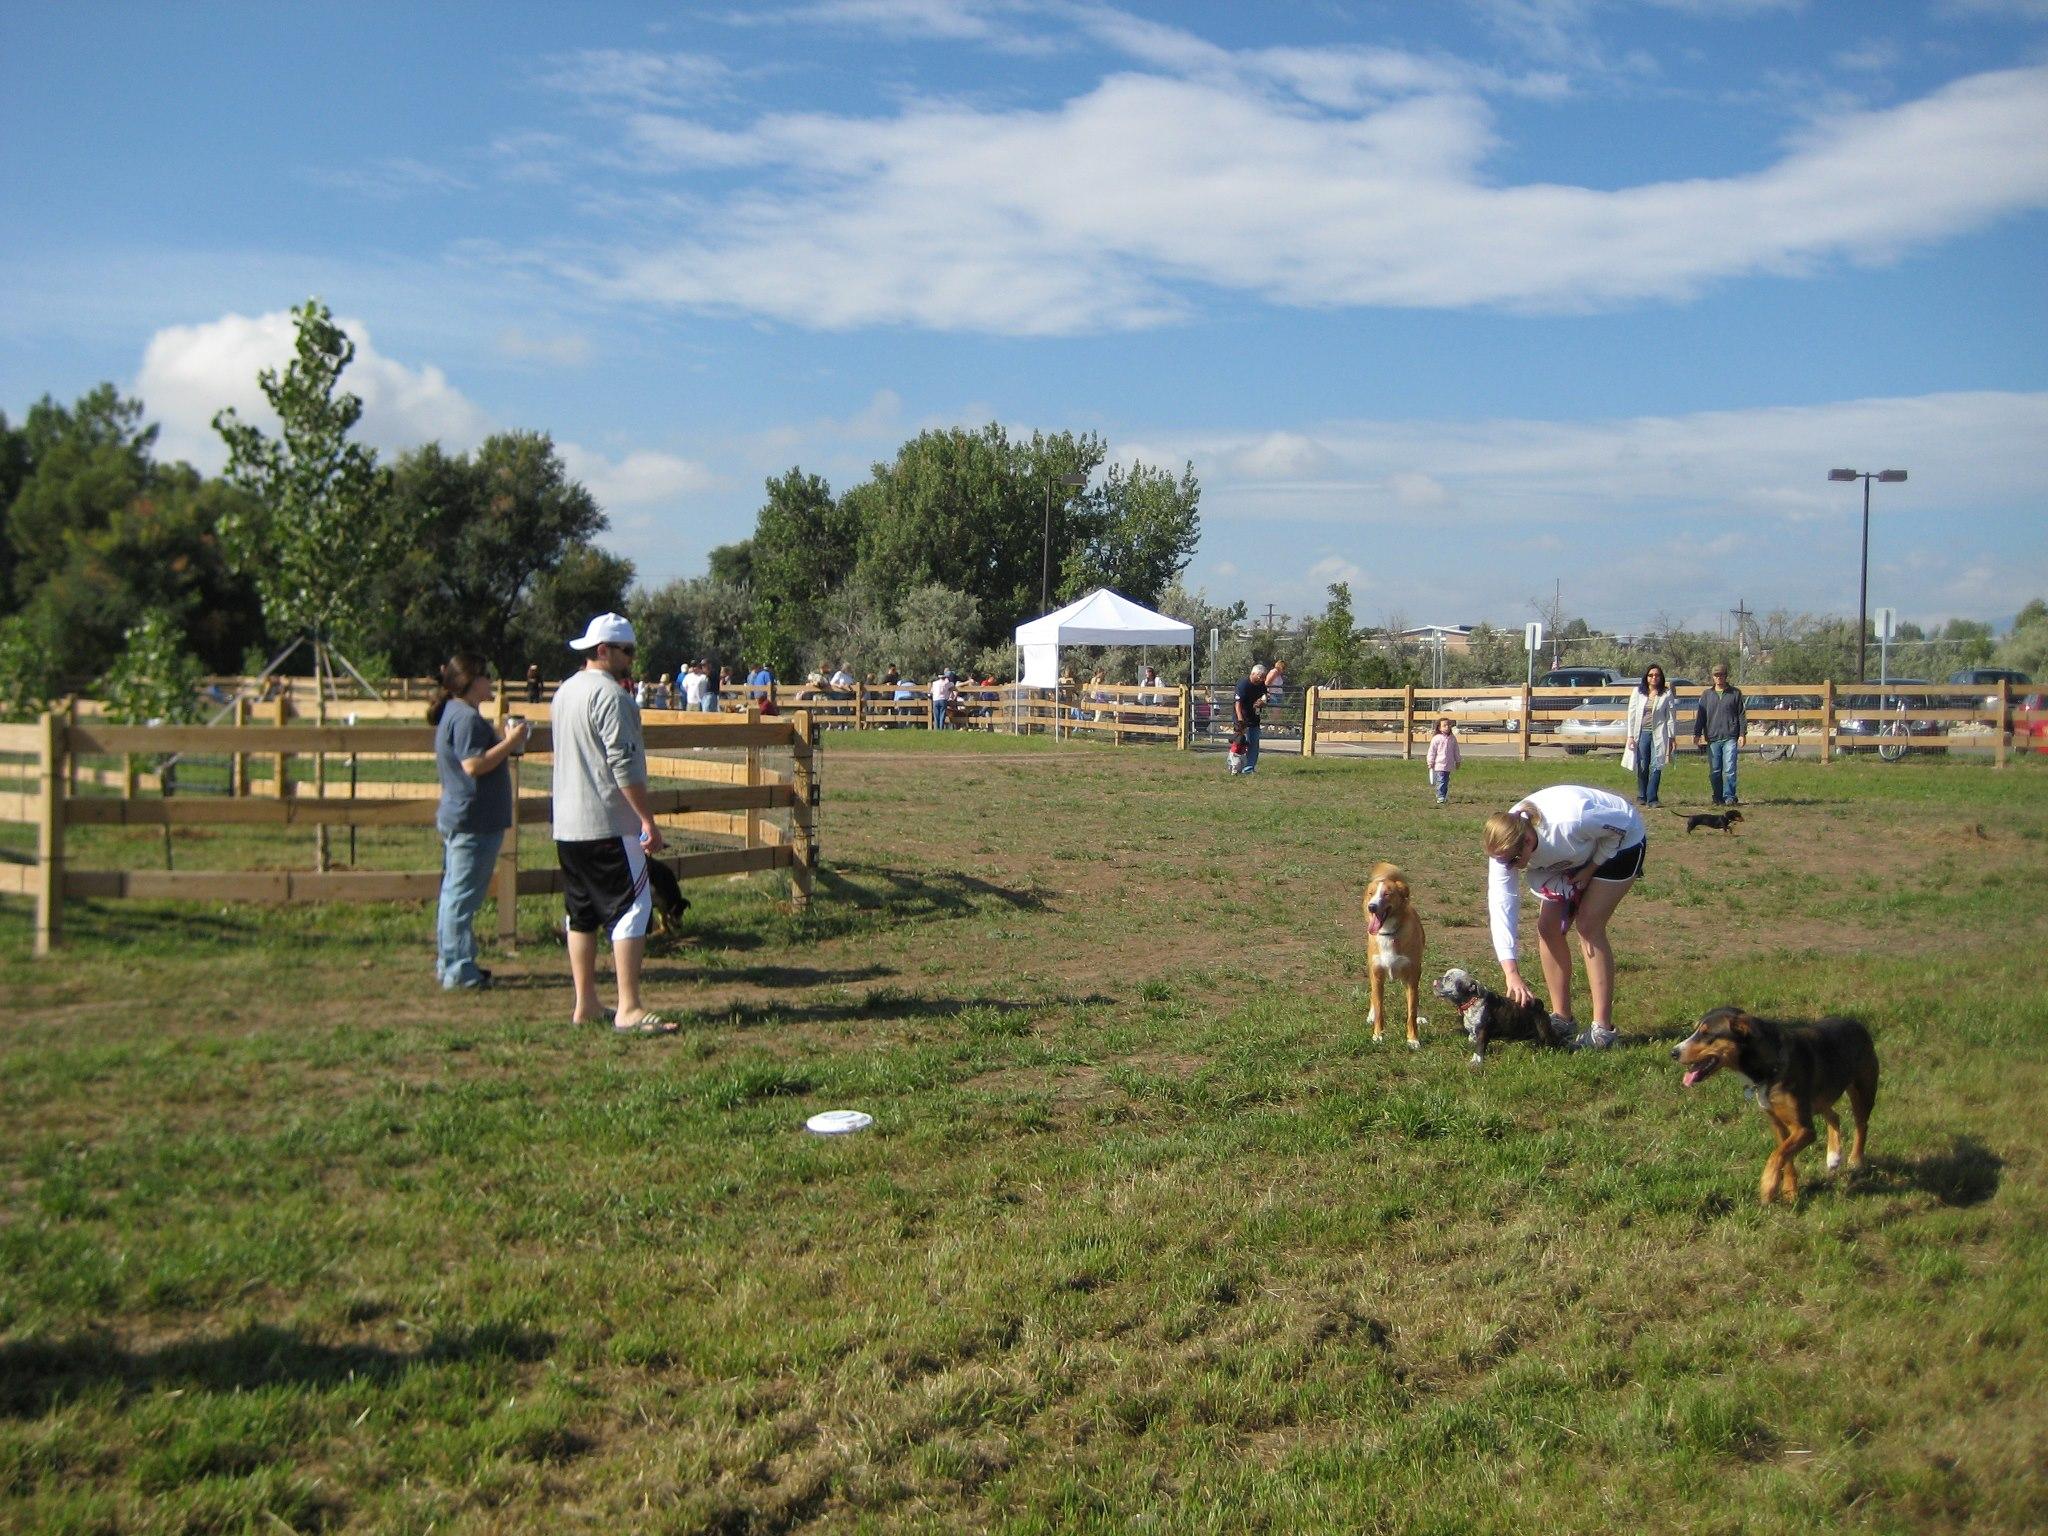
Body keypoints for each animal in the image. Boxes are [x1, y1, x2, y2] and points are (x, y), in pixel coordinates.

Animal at [1368, 860, 1433, 1056]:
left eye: (1387, 894)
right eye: (1371, 894)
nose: (1371, 907)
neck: (1388, 933)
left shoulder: (1412, 977)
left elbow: (1411, 1012)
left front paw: (1413, 1040)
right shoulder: (1377, 975)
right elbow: (1379, 1009)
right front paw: (1378, 1036)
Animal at [1433, 966, 1572, 1064]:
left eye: (1449, 979)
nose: (1437, 979)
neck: (1471, 1001)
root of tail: (1539, 1006)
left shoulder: (1483, 1032)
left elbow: (1479, 1048)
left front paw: (1476, 1062)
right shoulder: (1473, 1033)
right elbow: (1472, 1041)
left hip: (1545, 1033)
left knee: (1556, 1041)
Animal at [1671, 1011, 1875, 1212]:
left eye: (1707, 1034)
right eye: (1695, 1030)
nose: (1673, 1052)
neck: (1770, 1068)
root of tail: (1856, 1022)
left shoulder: (1805, 1129)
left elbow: (1777, 1155)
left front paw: (1767, 1187)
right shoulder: (1777, 1123)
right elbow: (1786, 1157)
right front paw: (1790, 1192)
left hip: (1862, 1090)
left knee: (1861, 1124)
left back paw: (1856, 1160)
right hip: (1821, 1099)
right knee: (1834, 1115)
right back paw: (1833, 1155)